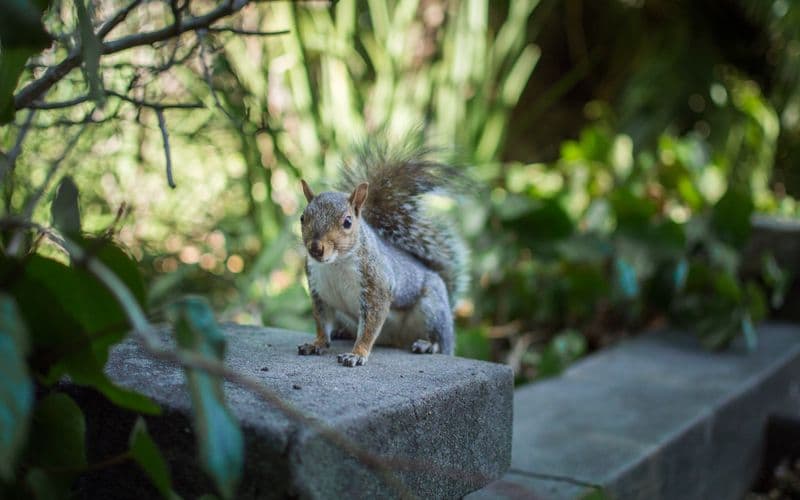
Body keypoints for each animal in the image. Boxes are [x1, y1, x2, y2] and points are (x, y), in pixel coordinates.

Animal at [296, 143, 468, 367]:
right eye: (302, 217)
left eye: (347, 222)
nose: (316, 248)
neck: (335, 264)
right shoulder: (319, 291)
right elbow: (321, 322)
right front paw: (316, 343)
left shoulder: (376, 285)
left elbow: (370, 327)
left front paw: (357, 354)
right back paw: (343, 333)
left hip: (432, 308)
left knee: (438, 338)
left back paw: (428, 345)